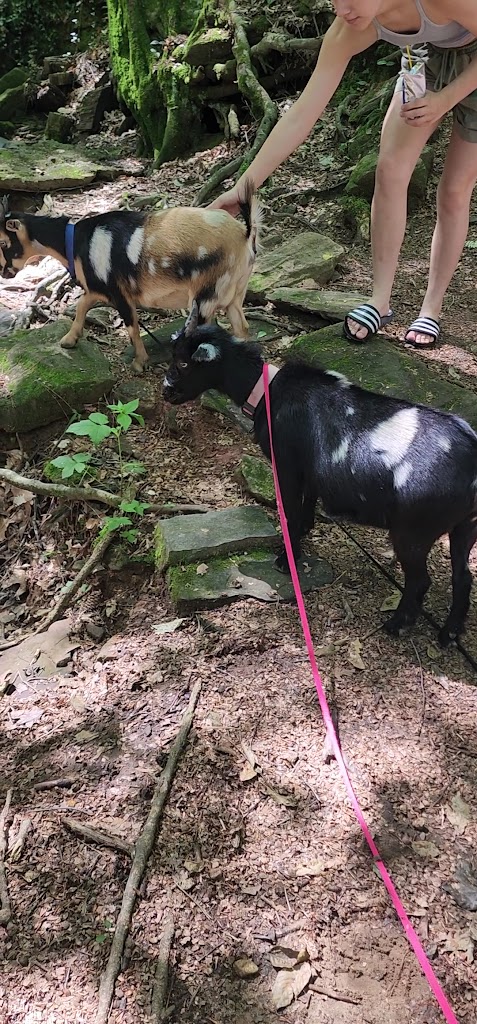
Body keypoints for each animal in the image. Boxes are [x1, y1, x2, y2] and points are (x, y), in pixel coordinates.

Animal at [0, 183, 261, 374]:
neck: (74, 242)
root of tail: (245, 234)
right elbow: (82, 304)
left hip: (207, 294)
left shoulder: (119, 292)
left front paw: (139, 362)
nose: (4, 273)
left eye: (3, 242)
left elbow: (132, 327)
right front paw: (69, 339)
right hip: (235, 293)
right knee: (242, 328)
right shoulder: (99, 288)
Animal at [163, 303, 477, 644]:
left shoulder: (286, 465)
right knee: (464, 577)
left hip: (413, 530)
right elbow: (308, 501)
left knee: (421, 581)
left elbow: (289, 511)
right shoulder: (310, 470)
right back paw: (449, 633)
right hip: (465, 525)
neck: (266, 392)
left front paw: (287, 559)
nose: (166, 391)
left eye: (183, 363)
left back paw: (397, 625)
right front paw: (306, 529)